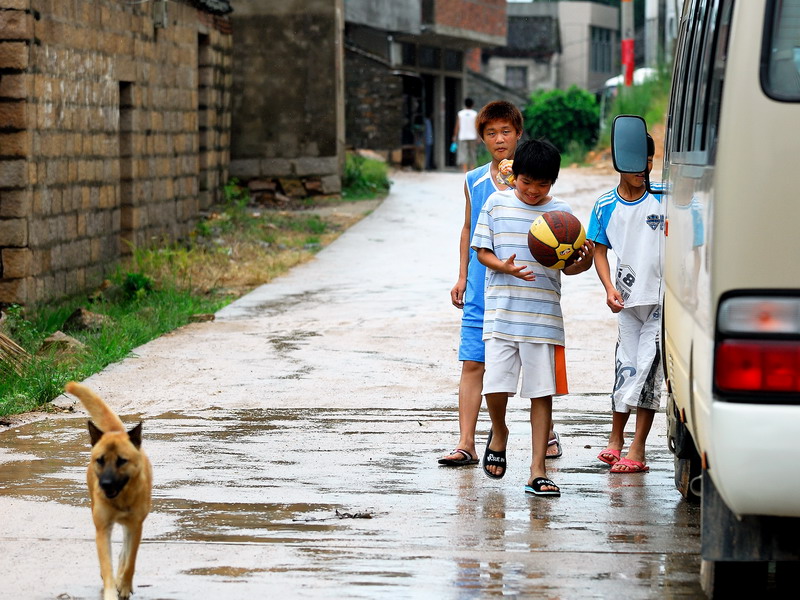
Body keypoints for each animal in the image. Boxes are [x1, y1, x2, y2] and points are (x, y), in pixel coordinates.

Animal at [66, 384, 153, 600]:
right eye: (100, 460)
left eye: (122, 461)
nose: (105, 484)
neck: (121, 499)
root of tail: (116, 431)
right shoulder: (103, 528)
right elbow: (106, 564)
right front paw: (111, 591)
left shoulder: (135, 527)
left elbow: (130, 562)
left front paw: (124, 586)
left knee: (124, 554)